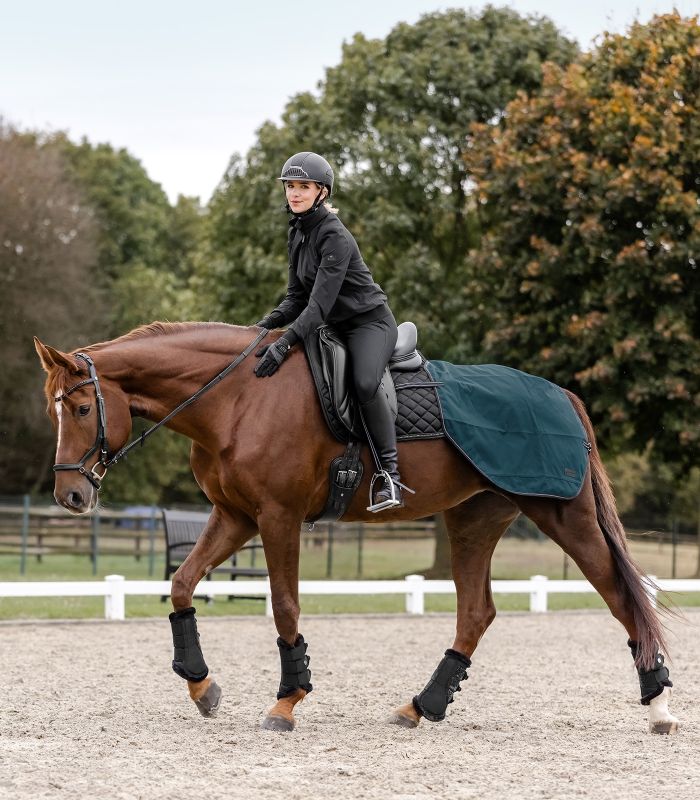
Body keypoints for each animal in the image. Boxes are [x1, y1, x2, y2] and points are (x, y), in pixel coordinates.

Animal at [34, 321, 679, 734]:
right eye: (54, 412)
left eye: (84, 409)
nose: (71, 495)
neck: (238, 397)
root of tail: (560, 395)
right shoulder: (235, 516)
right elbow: (181, 584)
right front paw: (201, 686)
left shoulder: (277, 517)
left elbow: (285, 605)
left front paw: (287, 702)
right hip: (473, 520)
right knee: (476, 612)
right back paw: (422, 707)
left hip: (564, 515)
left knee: (623, 597)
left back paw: (658, 707)